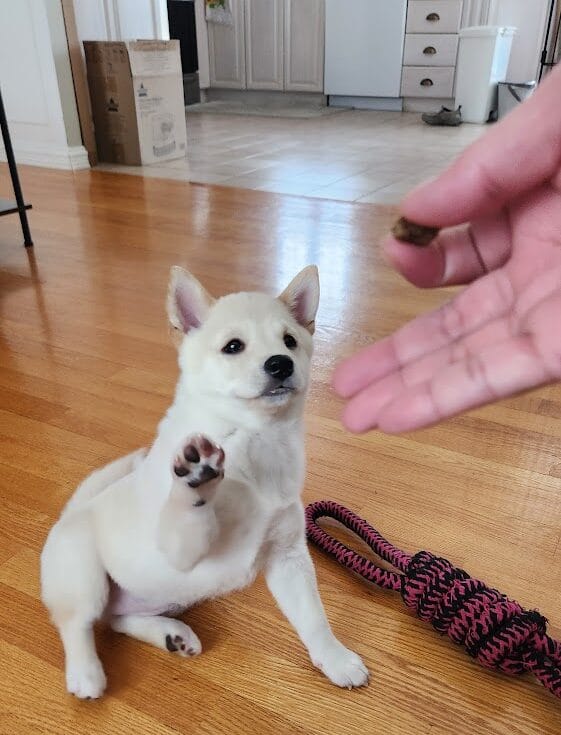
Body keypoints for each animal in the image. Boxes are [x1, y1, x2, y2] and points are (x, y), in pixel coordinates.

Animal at [41, 264, 370, 696]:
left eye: (290, 341)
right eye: (233, 347)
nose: (281, 364)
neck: (254, 437)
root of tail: (68, 515)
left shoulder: (289, 557)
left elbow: (314, 617)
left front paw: (334, 658)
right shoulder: (180, 552)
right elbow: (189, 514)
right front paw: (195, 481)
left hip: (159, 596)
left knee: (117, 620)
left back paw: (171, 634)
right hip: (85, 575)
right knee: (77, 624)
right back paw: (85, 673)